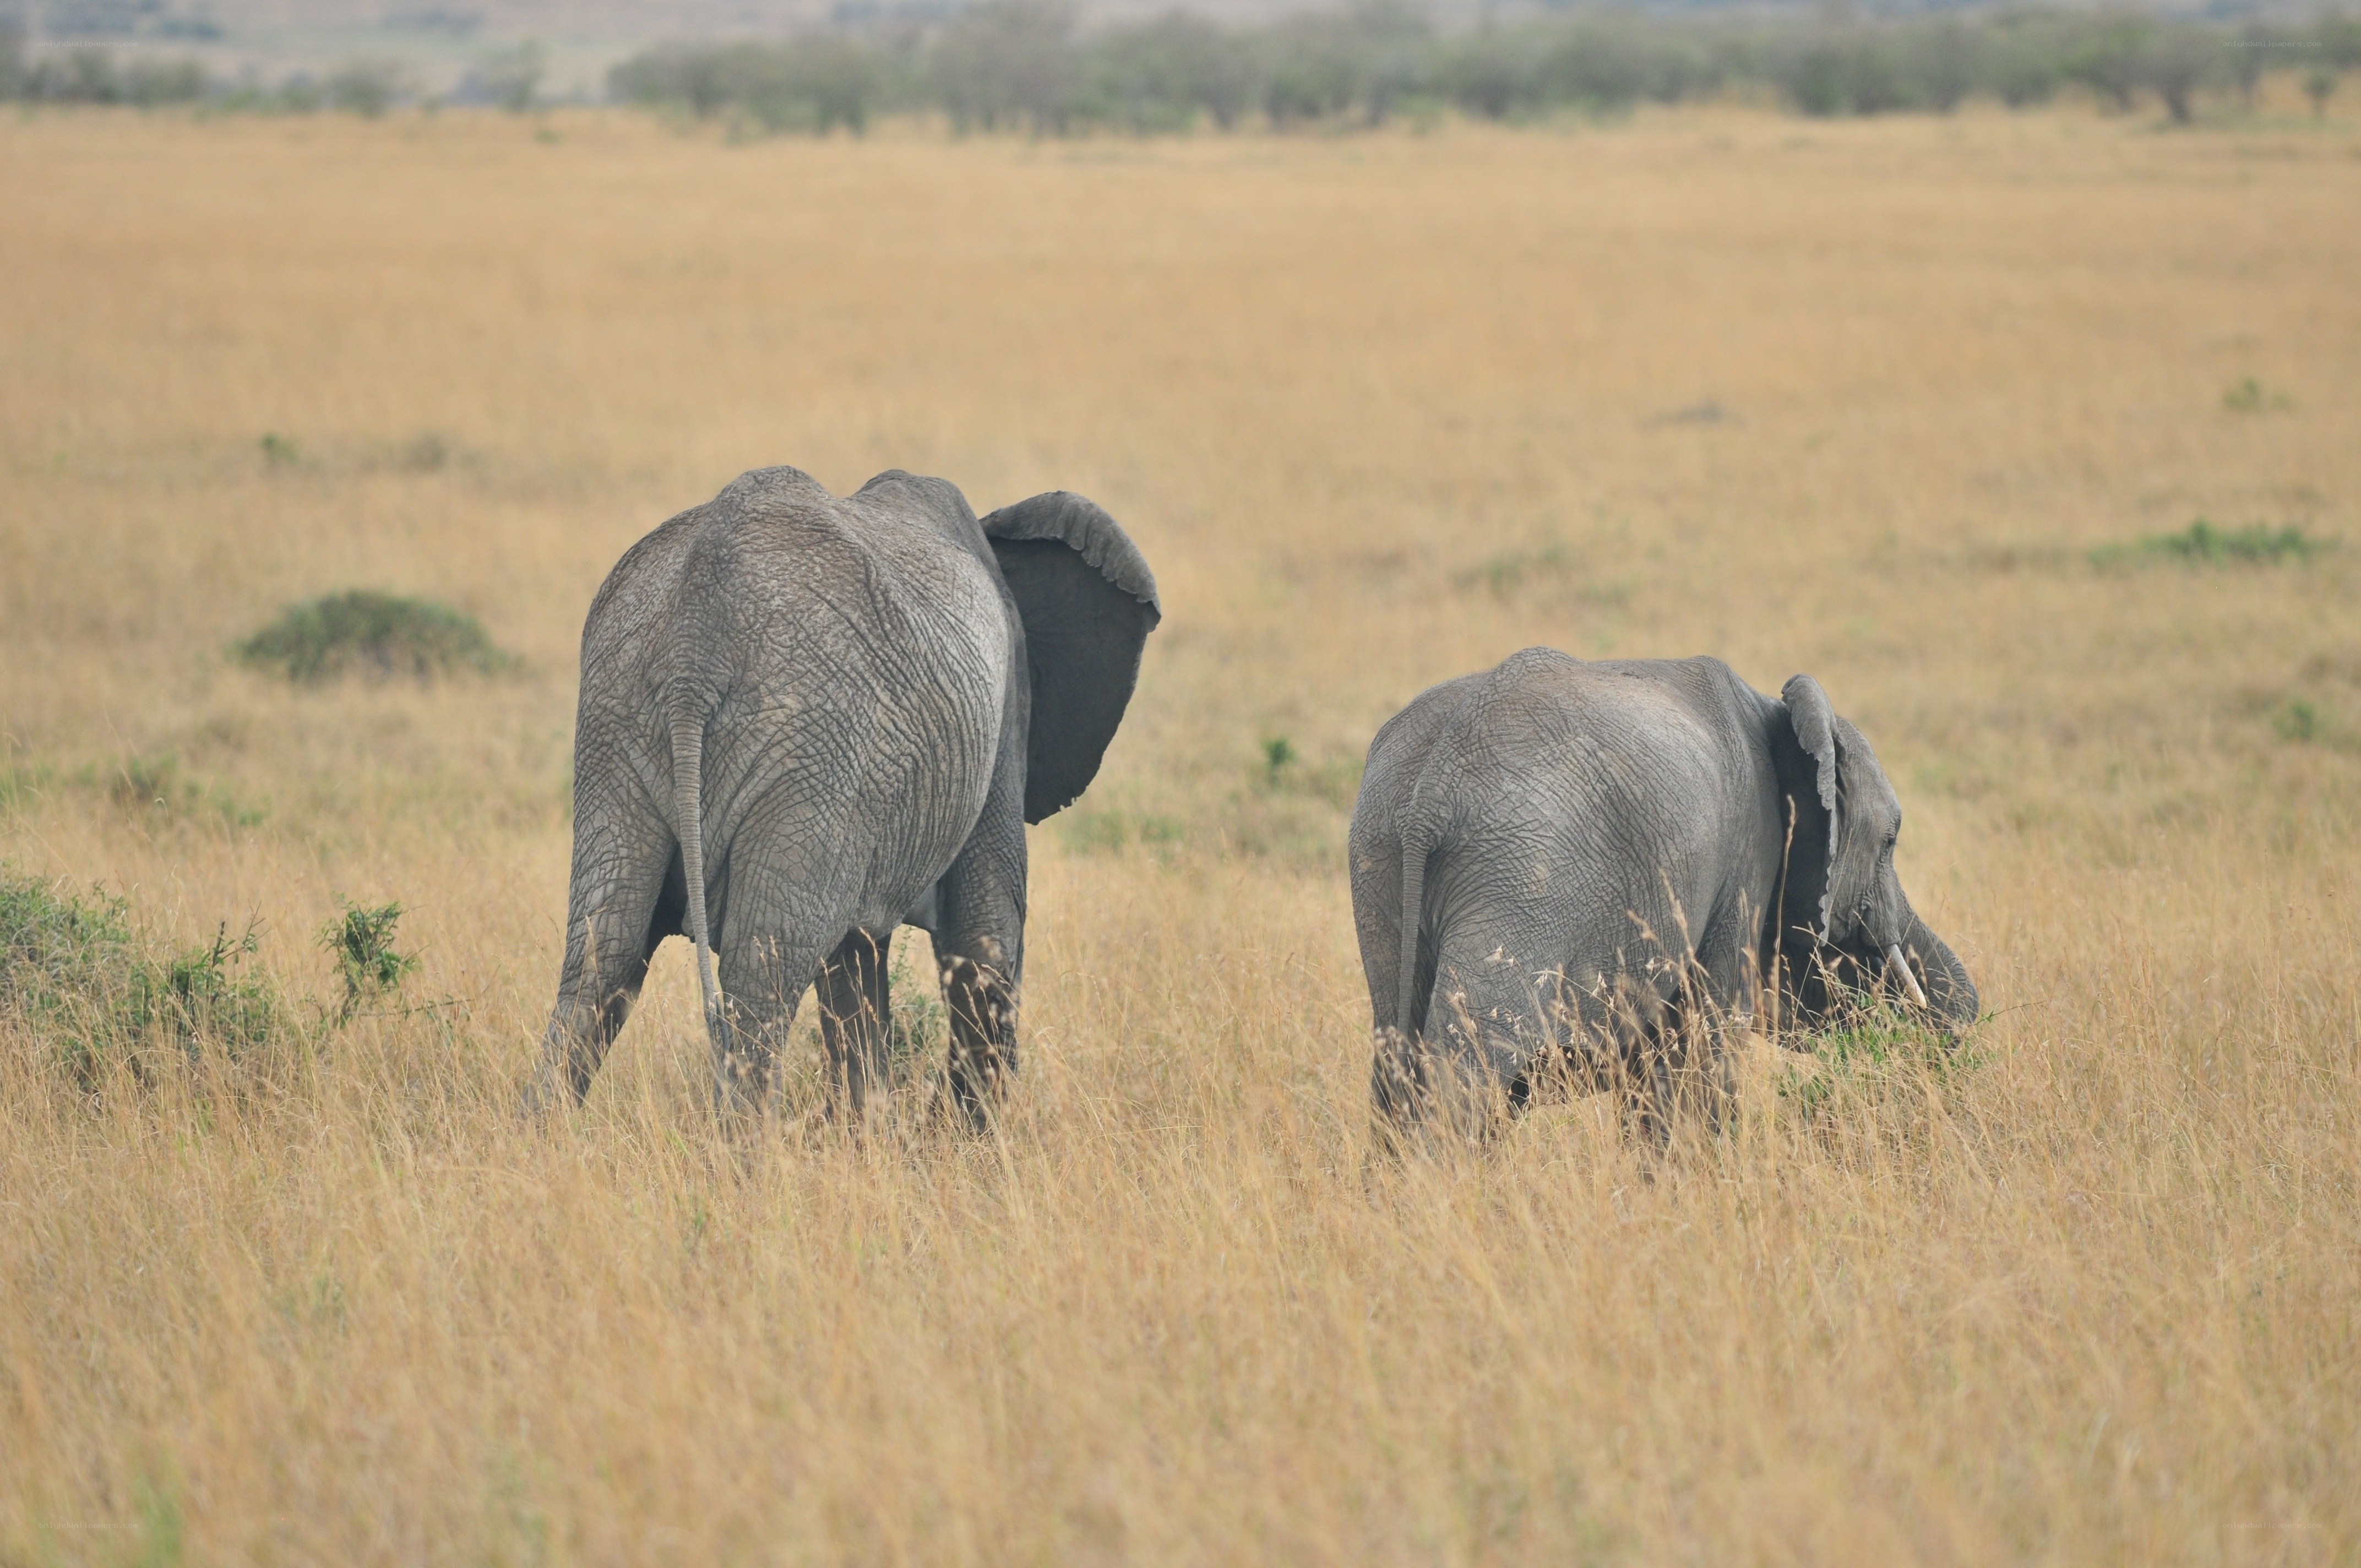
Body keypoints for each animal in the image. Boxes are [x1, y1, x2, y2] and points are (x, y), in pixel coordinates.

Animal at [528, 465, 1160, 1123]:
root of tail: (695, 642)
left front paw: (874, 1136)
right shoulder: (1001, 718)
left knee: (603, 955)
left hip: (619, 729)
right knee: (763, 969)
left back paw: (547, 1137)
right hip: (812, 746)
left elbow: (856, 960)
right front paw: (959, 1141)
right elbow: (983, 939)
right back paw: (742, 1153)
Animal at [1348, 647, 1977, 1139]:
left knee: (1394, 1056)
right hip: (1520, 876)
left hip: (1379, 860)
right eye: (1891, 840)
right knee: (1471, 1059)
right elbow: (1709, 1033)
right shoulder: (1746, 853)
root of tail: (1431, 795)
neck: (1774, 711)